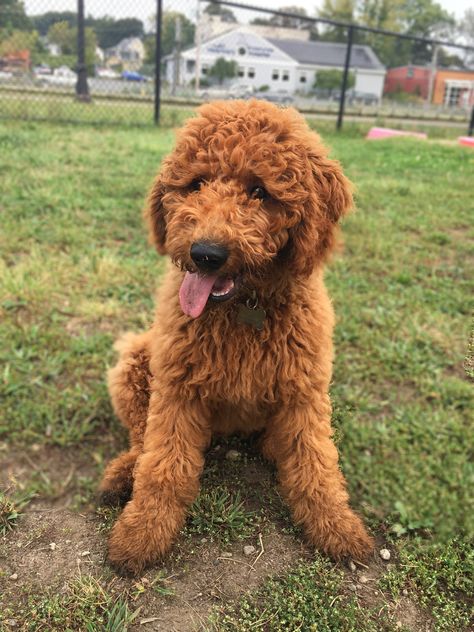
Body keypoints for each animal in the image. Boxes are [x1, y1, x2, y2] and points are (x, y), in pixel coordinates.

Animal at [100, 99, 374, 572]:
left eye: (260, 191)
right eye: (195, 184)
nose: (205, 254)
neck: (243, 307)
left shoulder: (304, 391)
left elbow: (316, 464)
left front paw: (337, 527)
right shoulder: (177, 389)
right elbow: (163, 467)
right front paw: (141, 534)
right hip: (136, 359)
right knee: (141, 439)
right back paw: (123, 473)